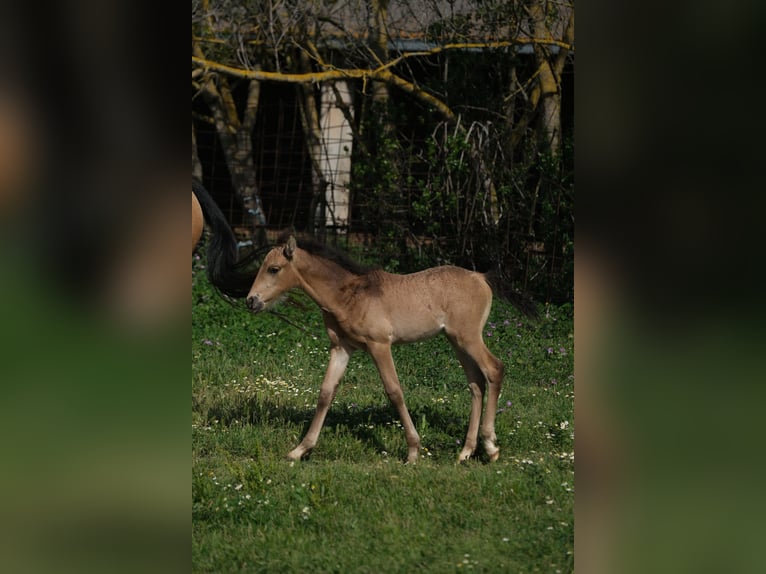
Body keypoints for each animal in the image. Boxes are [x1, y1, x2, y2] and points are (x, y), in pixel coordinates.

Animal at [248, 234, 510, 464]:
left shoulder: (380, 345)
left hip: (468, 338)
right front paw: (300, 450)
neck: (349, 296)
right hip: (456, 341)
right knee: (476, 383)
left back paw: (490, 447)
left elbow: (394, 391)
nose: (251, 301)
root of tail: (480, 277)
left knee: (494, 370)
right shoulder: (341, 348)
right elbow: (325, 393)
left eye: (273, 269)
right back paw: (466, 452)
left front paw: (413, 451)